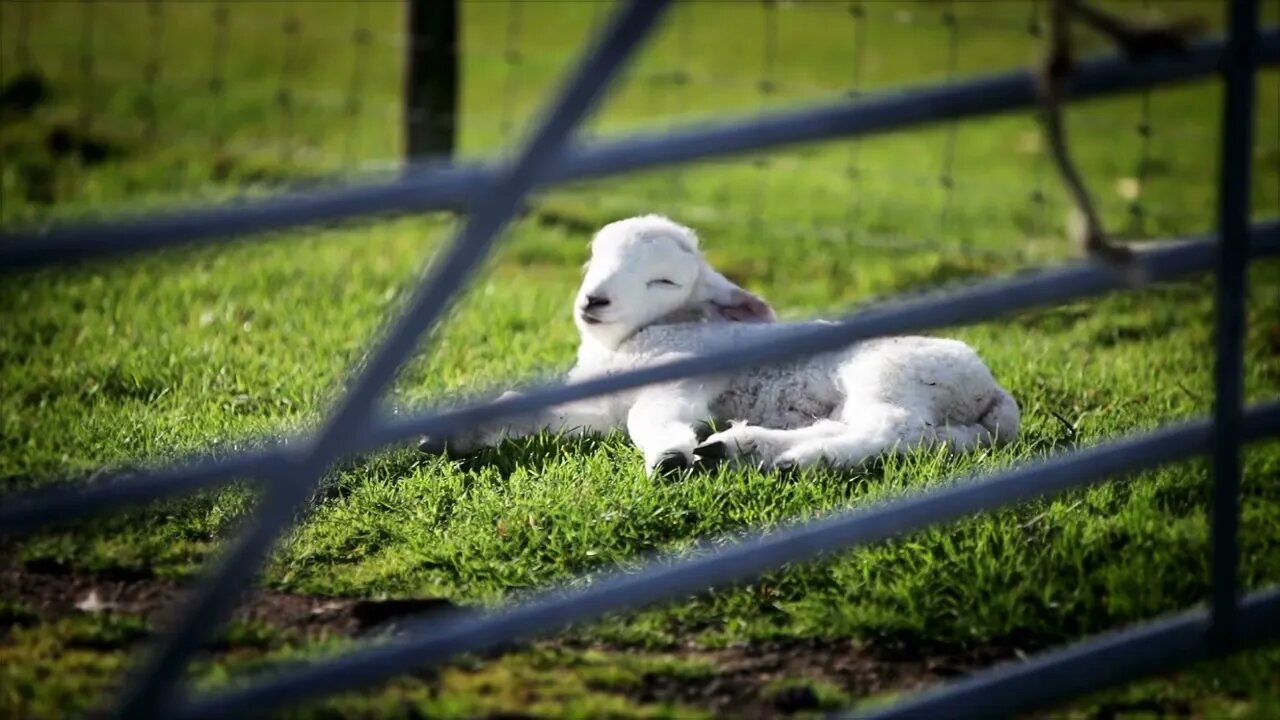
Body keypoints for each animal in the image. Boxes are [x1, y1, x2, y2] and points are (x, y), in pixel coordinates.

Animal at [430, 212, 1018, 471]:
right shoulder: (598, 403)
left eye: (663, 281)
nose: (594, 301)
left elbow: (648, 420)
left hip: (892, 375)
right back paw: (743, 448)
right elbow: (536, 412)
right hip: (943, 424)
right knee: (914, 440)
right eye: (594, 257)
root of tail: (992, 394)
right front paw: (453, 436)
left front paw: (668, 454)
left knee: (892, 430)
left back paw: (798, 458)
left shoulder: (683, 373)